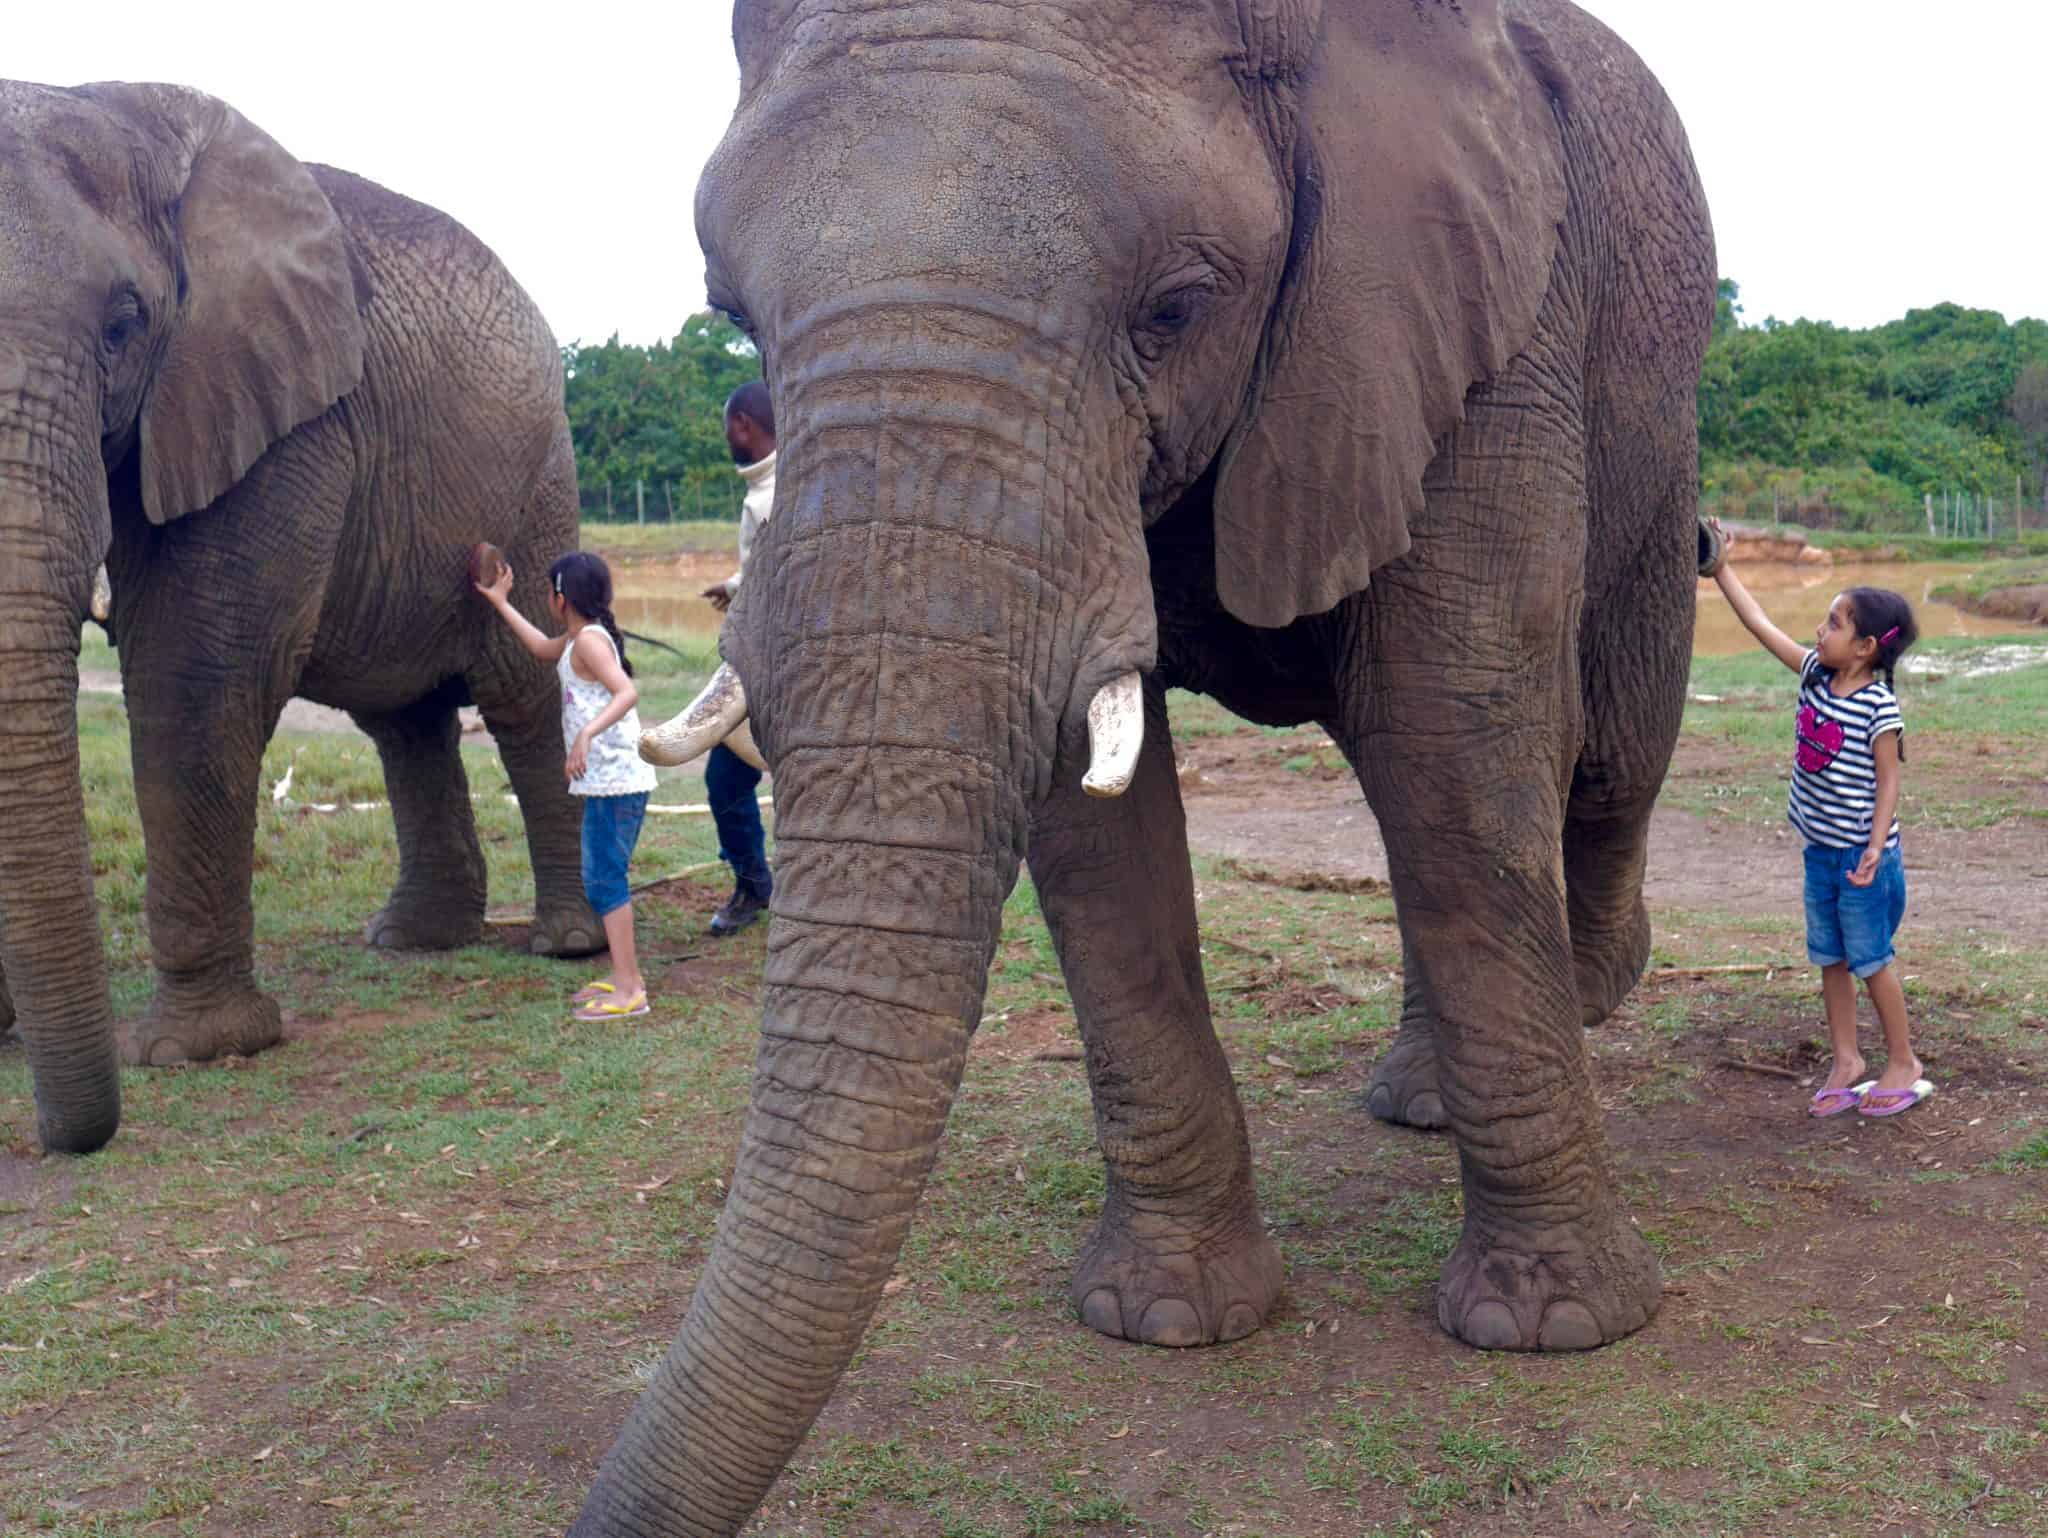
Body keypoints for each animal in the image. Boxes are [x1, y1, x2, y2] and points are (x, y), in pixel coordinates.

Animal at [0, 80, 601, 1156]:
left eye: (123, 325)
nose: (70, 1135)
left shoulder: (280, 411)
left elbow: (194, 672)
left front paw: (194, 1052)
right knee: (405, 721)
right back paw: (414, 941)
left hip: (541, 475)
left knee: (523, 694)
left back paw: (566, 945)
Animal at [570, 1, 1715, 1531]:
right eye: (732, 316)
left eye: (1174, 307)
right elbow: (1094, 817)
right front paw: (1167, 1318)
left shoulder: (1491, 319)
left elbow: (1453, 731)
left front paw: (1555, 1326)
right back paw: (1417, 1098)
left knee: (1600, 747)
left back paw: (1585, 999)